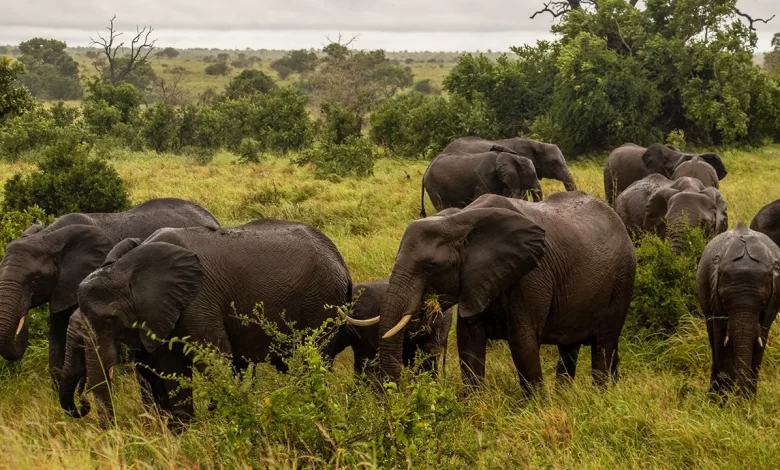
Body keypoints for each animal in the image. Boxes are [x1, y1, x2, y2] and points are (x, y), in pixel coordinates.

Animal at [59, 218, 352, 424]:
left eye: (113, 320)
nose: (83, 406)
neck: (128, 266)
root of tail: (341, 261)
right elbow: (173, 369)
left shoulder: (198, 300)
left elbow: (213, 361)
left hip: (322, 304)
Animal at [374, 191, 636, 392]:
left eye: (429, 267)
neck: (459, 219)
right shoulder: (477, 280)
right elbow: (469, 342)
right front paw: (473, 408)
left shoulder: (531, 273)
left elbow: (522, 342)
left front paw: (535, 407)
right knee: (569, 347)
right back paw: (566, 395)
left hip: (622, 280)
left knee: (603, 344)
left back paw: (599, 395)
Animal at [696, 223, 780, 396]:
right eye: (725, 301)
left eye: (762, 302)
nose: (740, 396)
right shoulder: (715, 296)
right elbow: (722, 341)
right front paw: (724, 399)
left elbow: (760, 341)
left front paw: (747, 399)